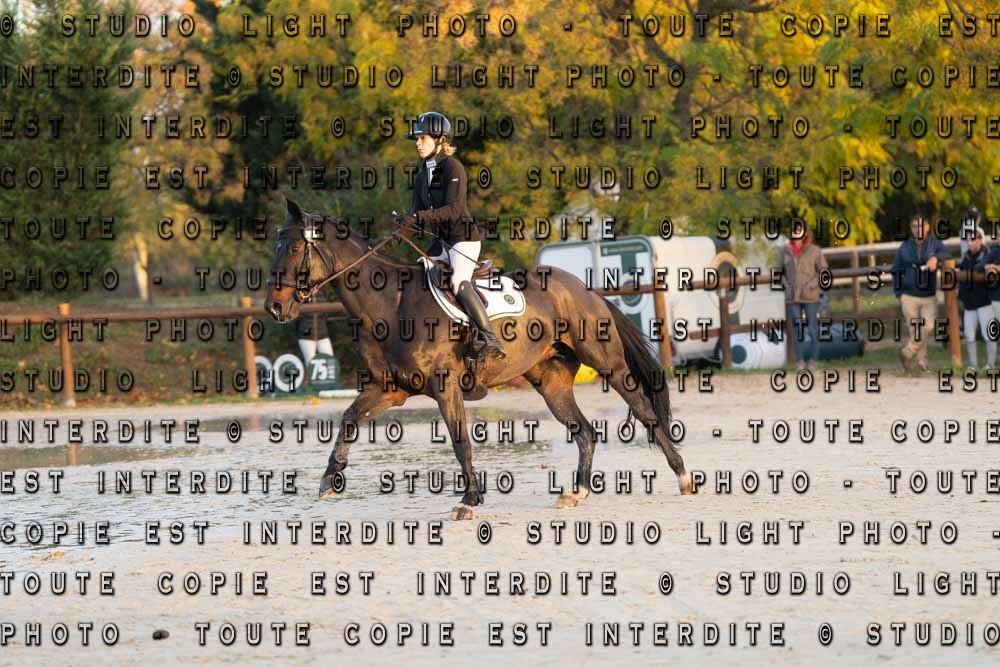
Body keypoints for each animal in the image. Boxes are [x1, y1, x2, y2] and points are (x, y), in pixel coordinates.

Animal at [265, 198, 696, 520]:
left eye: (295, 247)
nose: (274, 307)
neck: (391, 304)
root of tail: (582, 287)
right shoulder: (391, 390)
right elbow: (349, 418)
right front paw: (330, 477)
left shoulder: (445, 387)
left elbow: (460, 442)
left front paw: (469, 501)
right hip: (551, 381)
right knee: (585, 431)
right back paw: (575, 492)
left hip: (607, 362)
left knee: (644, 410)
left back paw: (683, 476)